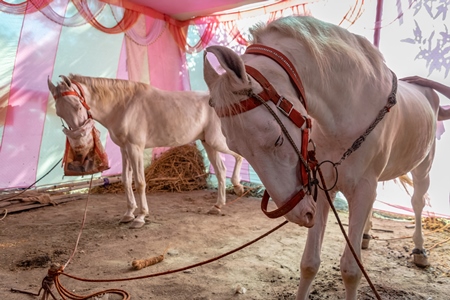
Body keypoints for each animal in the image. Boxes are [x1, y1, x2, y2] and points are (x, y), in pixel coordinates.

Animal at [48, 74, 244, 227]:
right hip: (209, 144)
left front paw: (140, 217)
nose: (80, 139)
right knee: (221, 171)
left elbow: (140, 182)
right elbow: (126, 180)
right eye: (59, 113)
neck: (123, 106)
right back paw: (217, 206)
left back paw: (238, 186)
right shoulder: (124, 149)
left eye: (77, 106)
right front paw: (128, 214)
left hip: (217, 142)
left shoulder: (135, 149)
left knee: (239, 156)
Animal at [204, 15, 450, 300]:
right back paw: (366, 236)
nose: (299, 213)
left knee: (418, 202)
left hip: (422, 168)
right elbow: (309, 263)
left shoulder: (362, 187)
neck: (349, 107)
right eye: (238, 149)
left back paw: (419, 250)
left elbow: (351, 270)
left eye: (277, 139)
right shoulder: (323, 185)